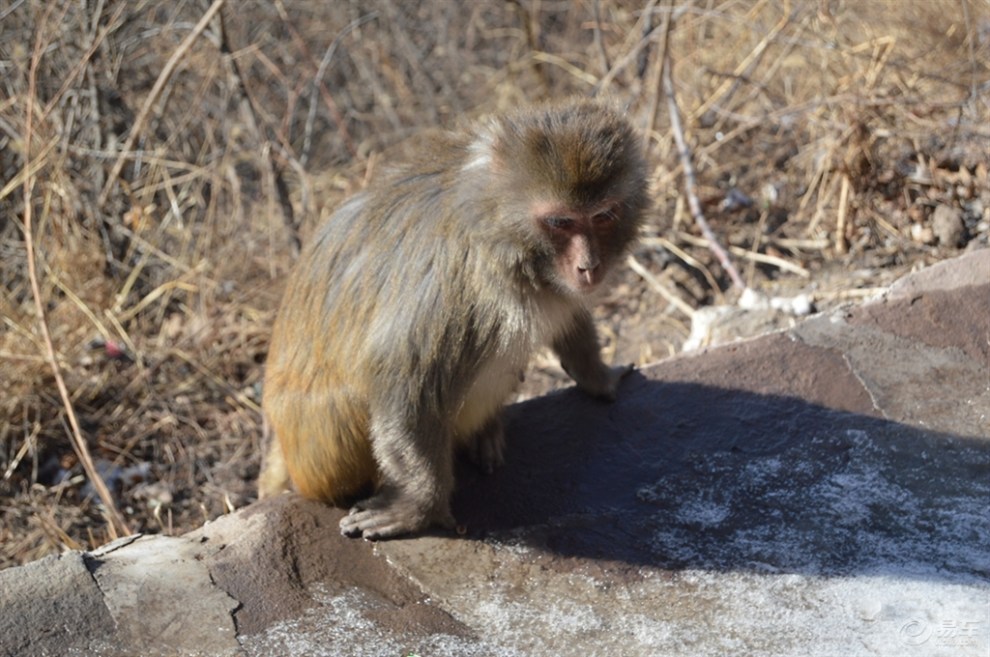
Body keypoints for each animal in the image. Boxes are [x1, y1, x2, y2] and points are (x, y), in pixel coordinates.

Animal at [260, 98, 656, 540]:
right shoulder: (455, 279)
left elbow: (569, 316)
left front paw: (599, 378)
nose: (589, 267)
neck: (501, 235)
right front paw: (418, 508)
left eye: (603, 216)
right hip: (317, 457)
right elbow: (403, 386)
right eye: (561, 222)